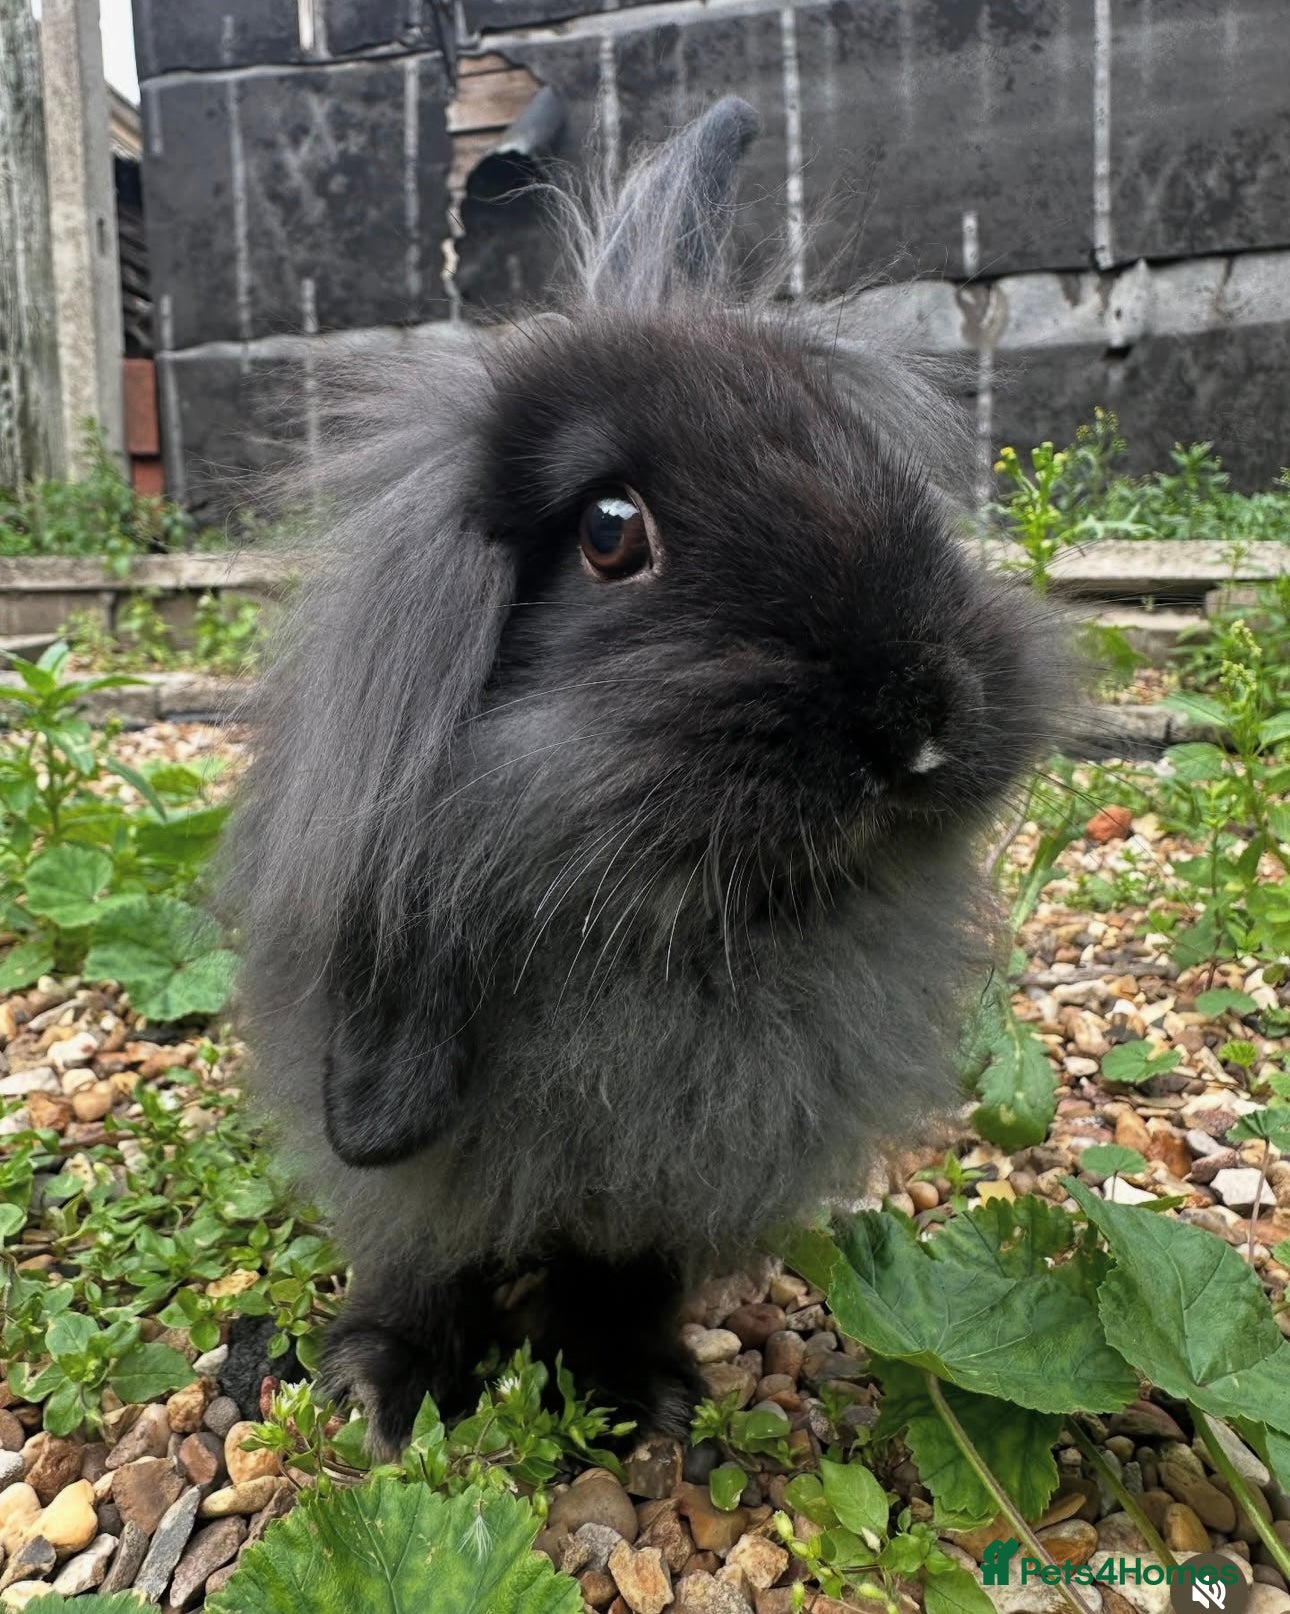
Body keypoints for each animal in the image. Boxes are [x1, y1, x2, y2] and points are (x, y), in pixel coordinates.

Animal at [222, 97, 1071, 1458]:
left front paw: (640, 1397)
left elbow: (624, 1276)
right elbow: (424, 1254)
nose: (920, 717)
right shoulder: (409, 1138)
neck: (677, 933)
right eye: (610, 531)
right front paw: (387, 1392)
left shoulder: (684, 1173)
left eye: (861, 453)